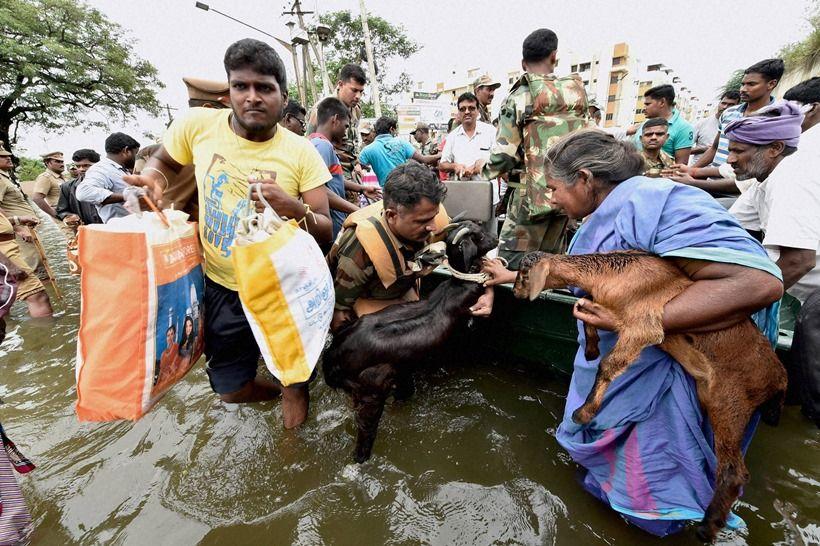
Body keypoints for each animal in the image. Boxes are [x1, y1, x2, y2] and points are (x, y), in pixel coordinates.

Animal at [324, 219, 496, 462]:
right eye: (479, 236)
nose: (496, 239)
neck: (458, 285)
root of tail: (333, 358)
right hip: (371, 393)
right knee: (365, 433)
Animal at [512, 250, 788, 540]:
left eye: (524, 275)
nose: (516, 292)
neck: (615, 272)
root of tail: (780, 379)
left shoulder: (644, 325)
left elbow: (609, 364)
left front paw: (583, 413)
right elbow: (585, 310)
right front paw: (591, 349)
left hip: (730, 401)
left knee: (734, 471)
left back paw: (707, 527)